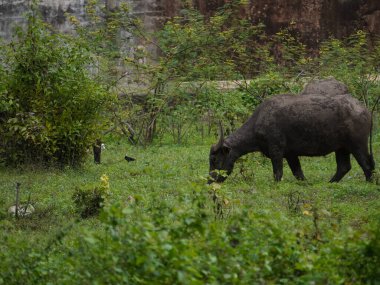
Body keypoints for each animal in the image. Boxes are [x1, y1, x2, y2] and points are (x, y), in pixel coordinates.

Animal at [209, 93, 376, 182]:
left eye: (214, 159)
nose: (210, 181)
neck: (258, 121)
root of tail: (365, 110)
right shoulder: (291, 154)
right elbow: (298, 173)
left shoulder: (276, 152)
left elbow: (278, 173)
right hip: (341, 148)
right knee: (344, 167)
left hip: (357, 145)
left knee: (366, 165)